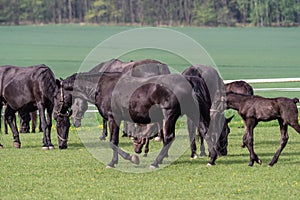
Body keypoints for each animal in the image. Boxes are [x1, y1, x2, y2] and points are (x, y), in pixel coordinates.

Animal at [55, 71, 216, 168]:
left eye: (56, 95)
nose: (56, 113)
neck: (102, 87)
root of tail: (187, 80)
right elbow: (114, 141)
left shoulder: (114, 118)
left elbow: (112, 142)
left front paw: (124, 159)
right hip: (193, 113)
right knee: (204, 131)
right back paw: (212, 159)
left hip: (169, 116)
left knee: (169, 138)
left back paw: (156, 162)